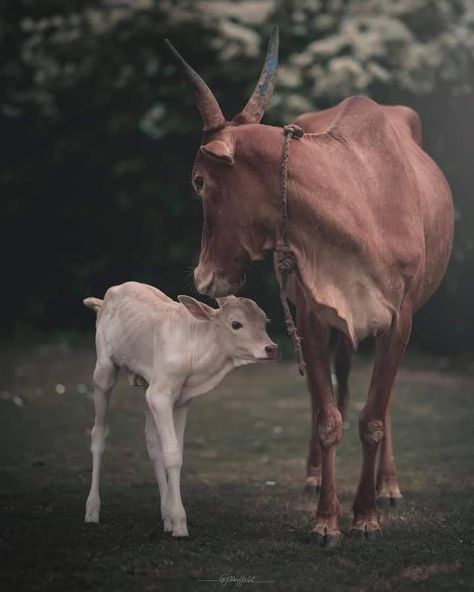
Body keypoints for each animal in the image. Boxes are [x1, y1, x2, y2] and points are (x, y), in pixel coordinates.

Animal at [82, 280, 278, 536]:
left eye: (265, 321)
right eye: (236, 324)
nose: (271, 348)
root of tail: (108, 297)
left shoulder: (181, 399)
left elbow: (174, 450)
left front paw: (172, 517)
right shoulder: (160, 396)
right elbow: (173, 454)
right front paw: (180, 524)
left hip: (147, 384)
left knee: (153, 443)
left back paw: (165, 515)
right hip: (104, 371)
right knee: (98, 435)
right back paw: (92, 510)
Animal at [165, 27, 454, 544]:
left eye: (198, 180)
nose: (203, 276)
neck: (357, 202)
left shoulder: (400, 320)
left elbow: (373, 418)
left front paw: (366, 515)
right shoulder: (310, 315)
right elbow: (327, 417)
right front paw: (326, 519)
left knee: (379, 405)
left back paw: (388, 485)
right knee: (330, 396)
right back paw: (316, 476)